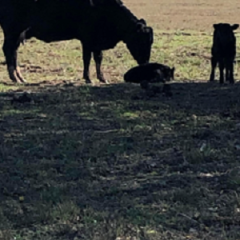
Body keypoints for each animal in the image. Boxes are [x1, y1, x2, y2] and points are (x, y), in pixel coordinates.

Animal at [0, 0, 154, 83]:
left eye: (150, 42)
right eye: (140, 41)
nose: (145, 62)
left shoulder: (96, 42)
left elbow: (98, 58)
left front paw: (102, 78)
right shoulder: (87, 39)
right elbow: (87, 58)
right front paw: (88, 78)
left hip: (17, 34)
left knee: (13, 52)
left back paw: (19, 77)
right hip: (13, 31)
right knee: (8, 50)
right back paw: (14, 77)